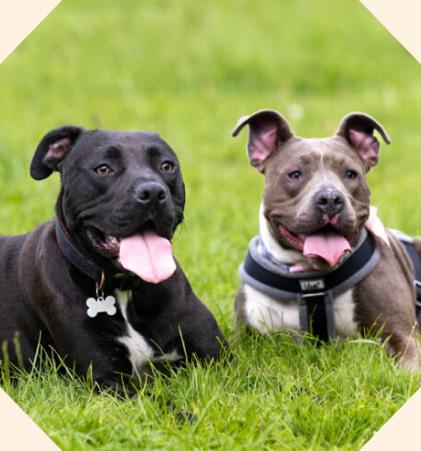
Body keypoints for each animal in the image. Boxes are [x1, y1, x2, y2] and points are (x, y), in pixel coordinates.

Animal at [0, 126, 226, 388]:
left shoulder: (218, 358)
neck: (125, 287)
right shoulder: (106, 378)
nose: (153, 192)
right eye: (103, 168)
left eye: (167, 166)